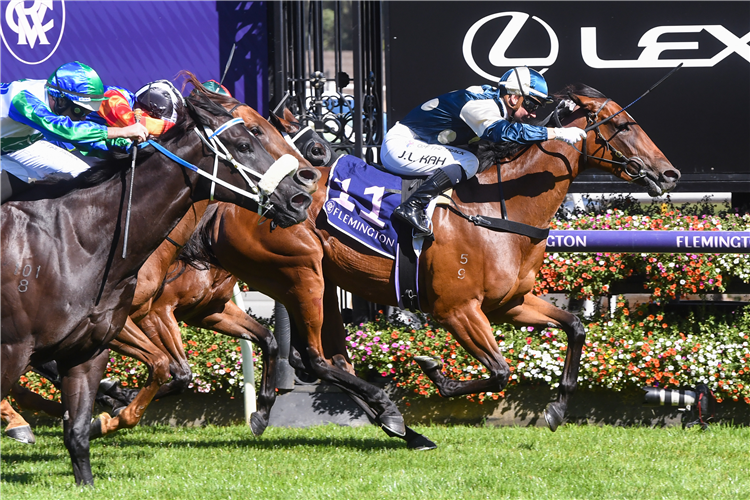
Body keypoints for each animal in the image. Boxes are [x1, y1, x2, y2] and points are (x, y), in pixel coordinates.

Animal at [0, 89, 314, 484]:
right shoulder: (147, 315)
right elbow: (169, 366)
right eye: (248, 139)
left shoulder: (199, 312)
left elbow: (259, 342)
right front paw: (112, 413)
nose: (301, 193)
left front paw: (260, 414)